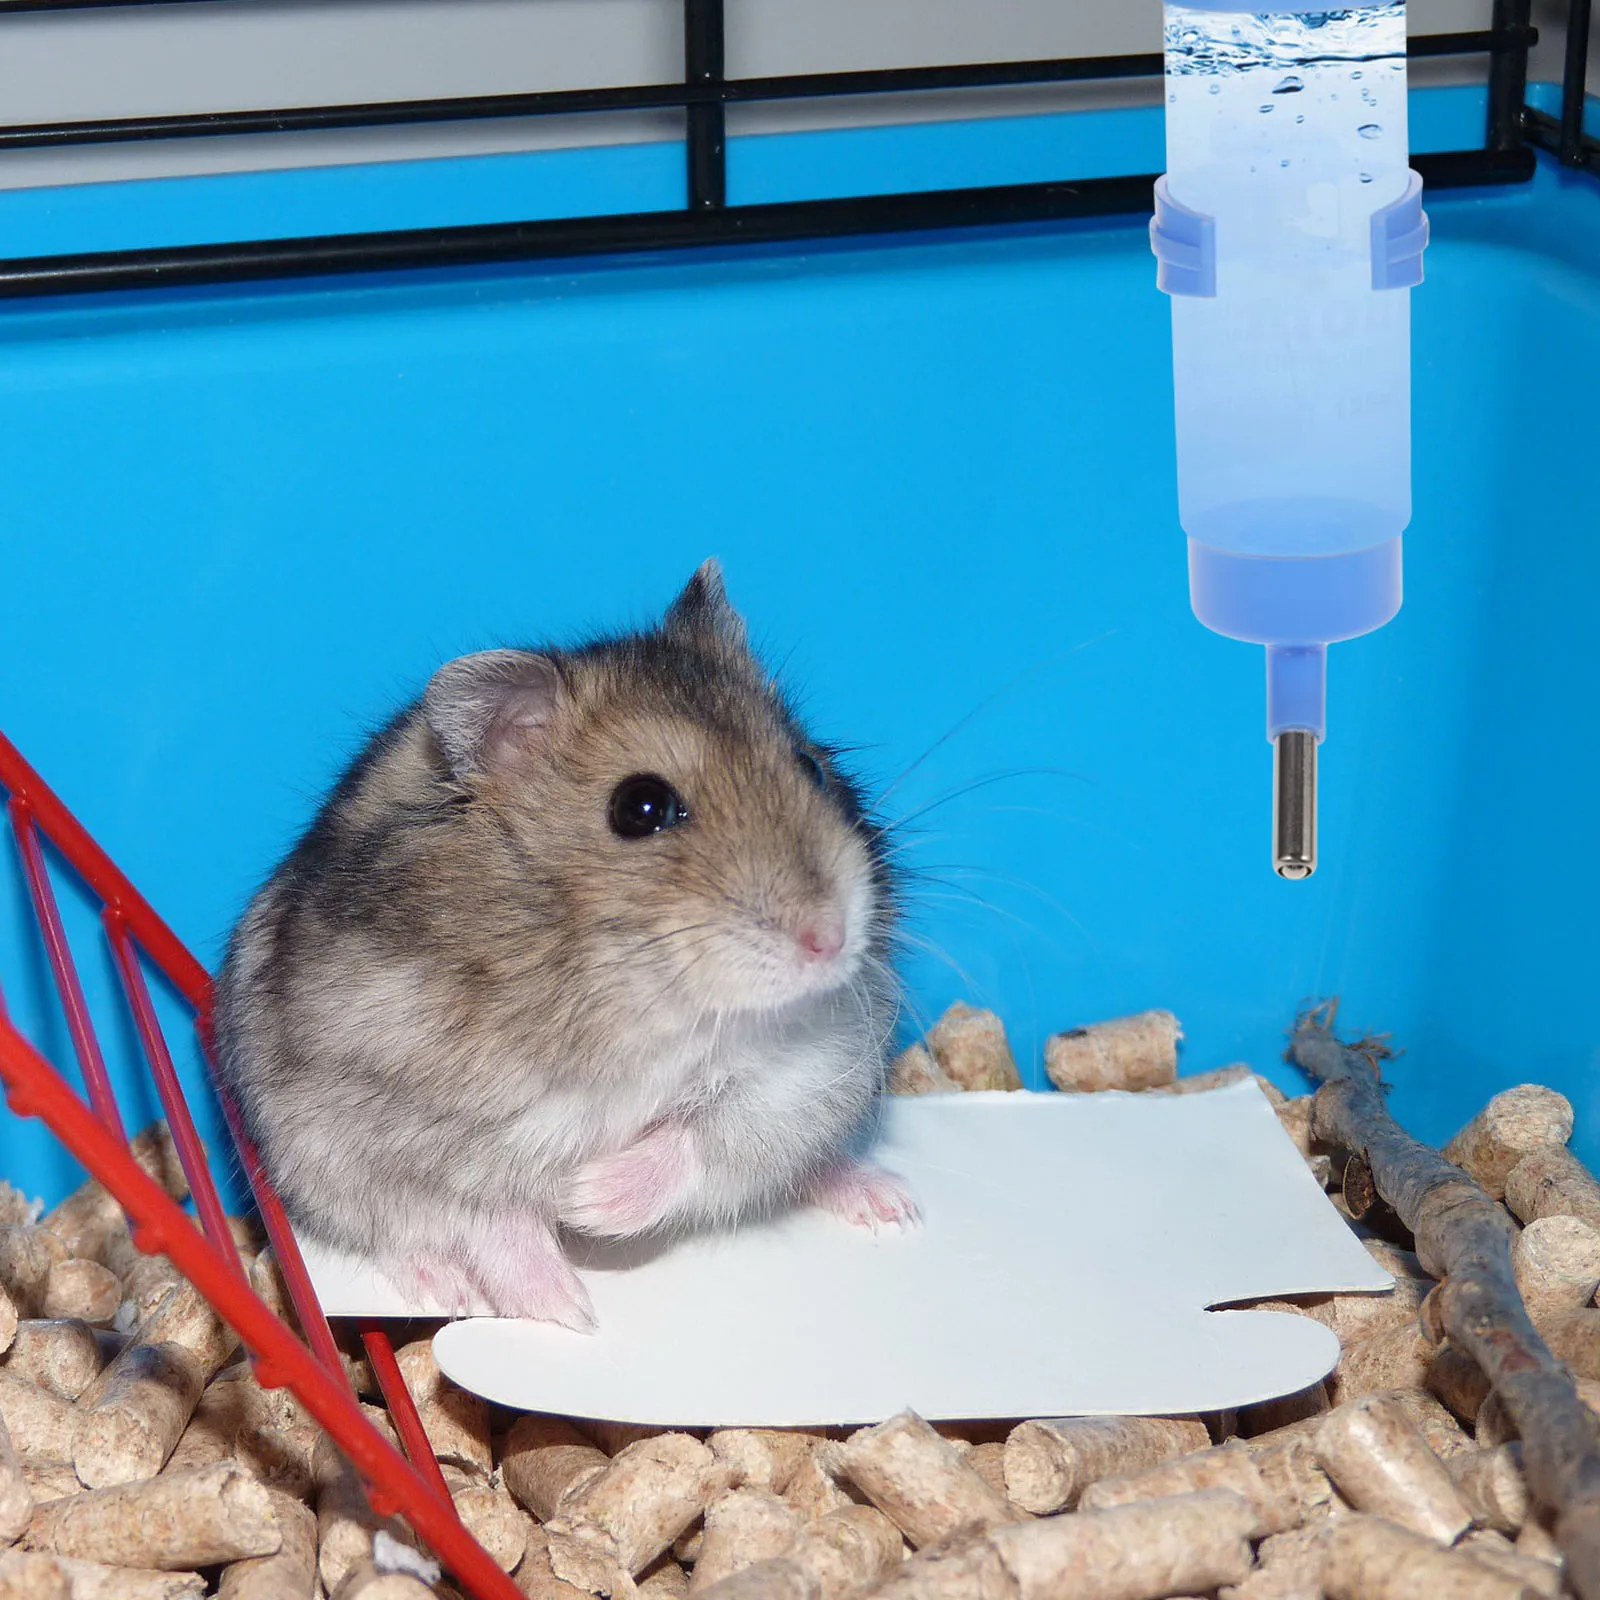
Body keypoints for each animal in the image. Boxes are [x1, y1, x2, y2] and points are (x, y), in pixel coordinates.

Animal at [212, 561, 913, 1330]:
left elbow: (708, 1131)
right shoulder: (381, 1121)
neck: (629, 1000)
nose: (830, 941)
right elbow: (481, 1216)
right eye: (641, 807)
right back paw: (445, 1285)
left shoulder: (812, 1062)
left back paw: (888, 1201)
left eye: (810, 766)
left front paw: (587, 1201)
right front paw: (570, 1307)